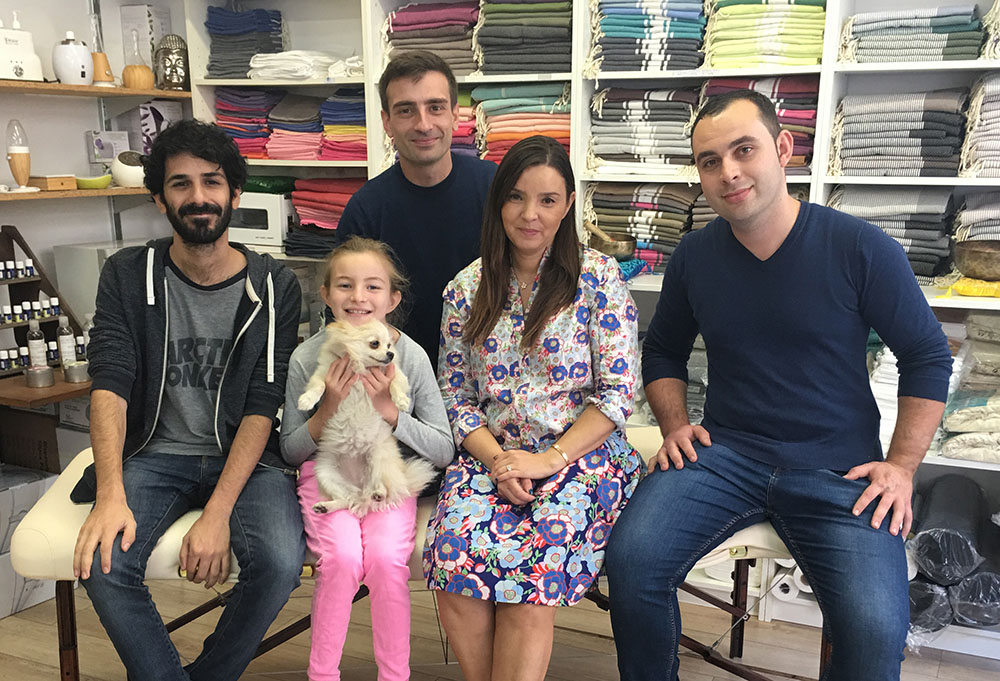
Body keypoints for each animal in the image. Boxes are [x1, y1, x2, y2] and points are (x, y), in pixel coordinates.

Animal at [296, 322, 438, 512]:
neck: (361, 368)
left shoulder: (396, 375)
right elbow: (318, 386)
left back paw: (379, 493)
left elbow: (395, 384)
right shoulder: (323, 373)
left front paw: (401, 401)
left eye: (389, 345)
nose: (391, 354)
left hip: (379, 457)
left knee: (383, 487)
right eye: (375, 344)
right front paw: (307, 400)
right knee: (345, 500)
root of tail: (360, 488)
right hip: (325, 473)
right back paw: (325, 507)